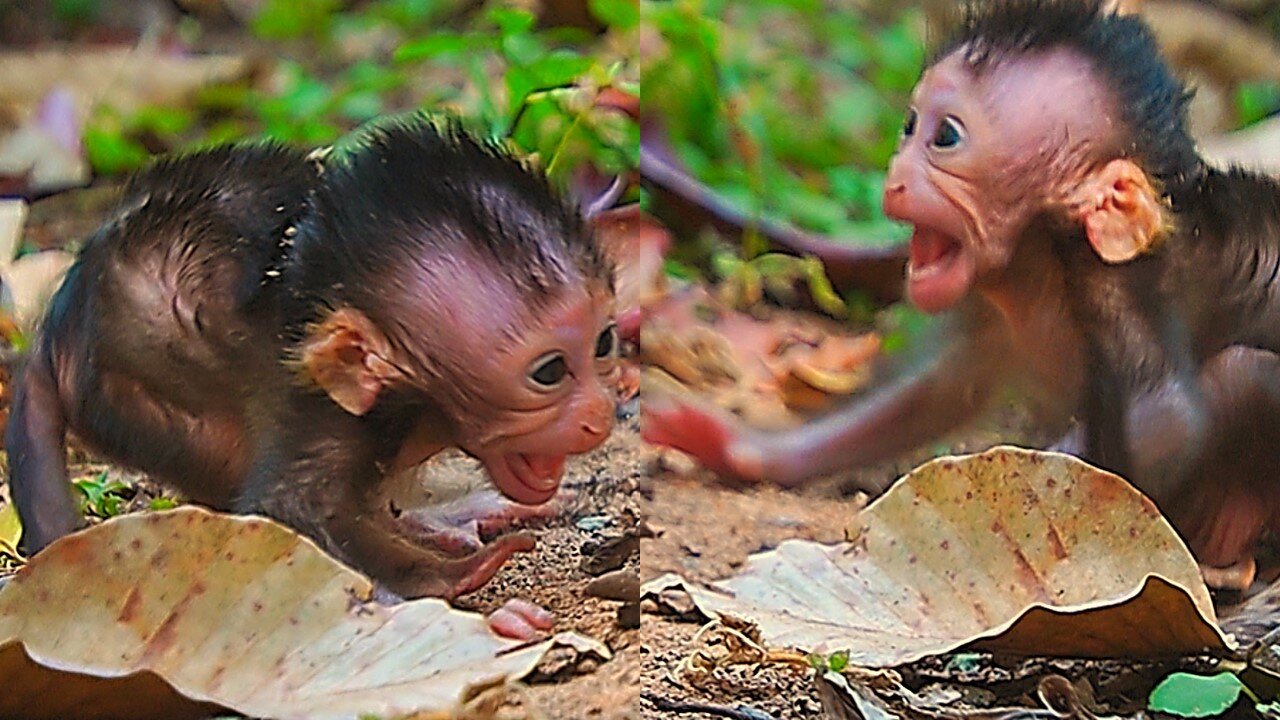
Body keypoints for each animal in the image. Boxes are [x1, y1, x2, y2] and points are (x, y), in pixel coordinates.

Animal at [3, 116, 614, 632]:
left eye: (603, 342)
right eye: (550, 371)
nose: (602, 415)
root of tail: (53, 331)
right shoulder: (326, 418)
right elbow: (286, 513)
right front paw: (443, 591)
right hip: (135, 400)